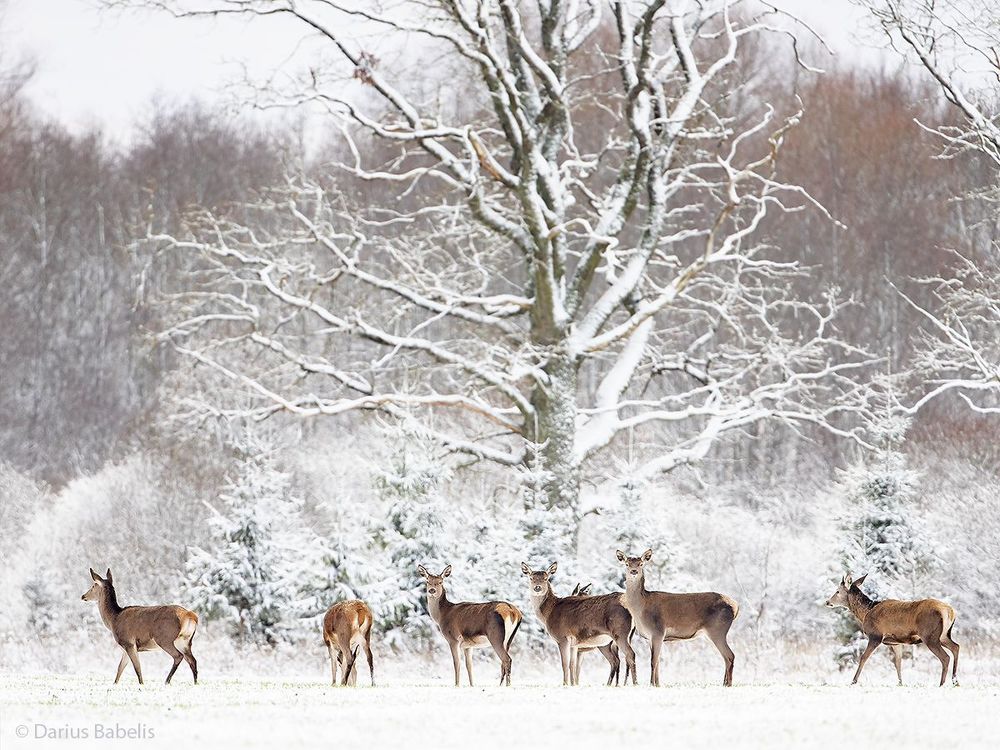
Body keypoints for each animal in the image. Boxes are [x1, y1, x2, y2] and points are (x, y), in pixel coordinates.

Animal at [616, 549, 739, 687]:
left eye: (641, 564)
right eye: (627, 564)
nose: (634, 571)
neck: (641, 608)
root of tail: (736, 606)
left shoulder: (658, 631)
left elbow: (653, 661)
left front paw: (651, 684)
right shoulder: (650, 637)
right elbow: (657, 662)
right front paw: (657, 684)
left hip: (718, 629)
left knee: (730, 656)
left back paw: (728, 684)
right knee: (726, 657)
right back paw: (724, 683)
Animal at [825, 573, 959, 687]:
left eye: (837, 591)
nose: (827, 602)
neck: (865, 613)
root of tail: (950, 611)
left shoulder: (875, 636)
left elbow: (863, 657)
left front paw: (853, 681)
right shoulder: (895, 642)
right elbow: (898, 662)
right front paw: (900, 683)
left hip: (930, 636)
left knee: (945, 657)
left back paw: (942, 684)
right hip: (944, 635)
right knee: (956, 647)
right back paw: (955, 681)